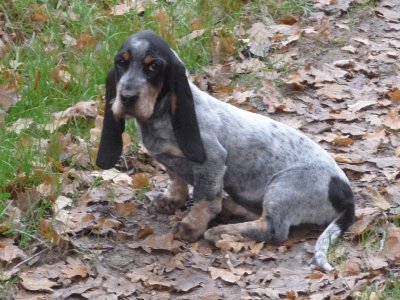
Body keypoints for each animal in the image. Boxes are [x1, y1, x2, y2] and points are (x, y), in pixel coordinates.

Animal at [95, 29, 354, 272]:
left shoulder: (212, 161)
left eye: (154, 66)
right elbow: (176, 179)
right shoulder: (171, 162)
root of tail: (345, 193)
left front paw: (191, 227)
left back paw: (221, 231)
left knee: (274, 229)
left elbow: (204, 198)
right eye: (121, 62)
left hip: (282, 187)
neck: (160, 118)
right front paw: (172, 200)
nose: (127, 97)